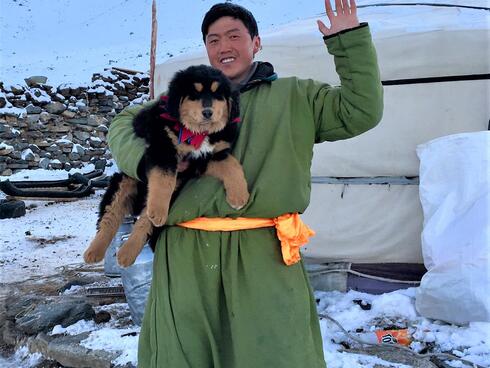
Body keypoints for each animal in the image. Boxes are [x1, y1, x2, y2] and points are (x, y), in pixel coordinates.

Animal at [83, 64, 249, 268]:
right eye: (194, 94)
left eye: (218, 95)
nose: (208, 112)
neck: (198, 133)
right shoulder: (163, 147)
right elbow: (163, 180)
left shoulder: (208, 157)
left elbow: (232, 165)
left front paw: (239, 196)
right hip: (123, 181)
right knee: (109, 218)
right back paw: (94, 252)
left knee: (144, 223)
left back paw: (126, 253)